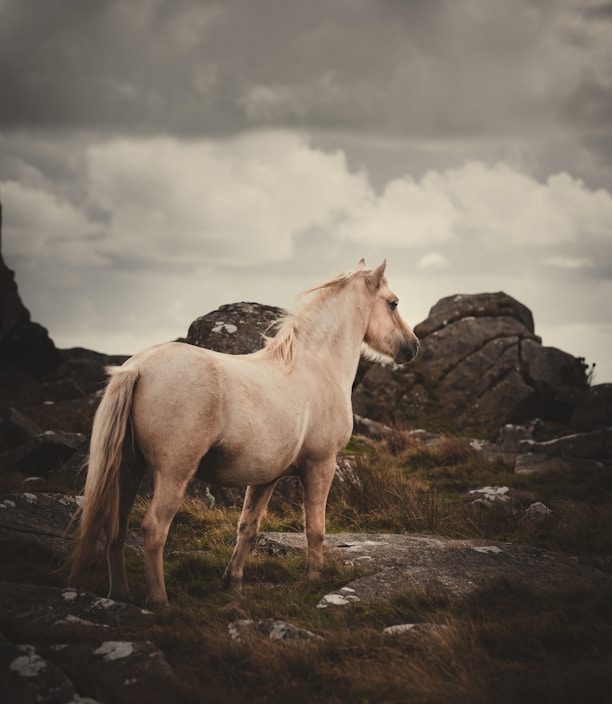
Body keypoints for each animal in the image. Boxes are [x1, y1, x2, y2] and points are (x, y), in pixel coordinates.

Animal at [68, 258, 420, 604]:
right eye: (393, 303)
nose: (412, 346)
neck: (316, 366)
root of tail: (137, 368)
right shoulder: (321, 464)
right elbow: (315, 529)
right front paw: (313, 580)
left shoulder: (266, 477)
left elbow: (248, 527)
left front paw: (233, 582)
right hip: (173, 473)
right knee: (154, 529)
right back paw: (159, 602)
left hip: (129, 468)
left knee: (116, 527)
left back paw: (120, 594)